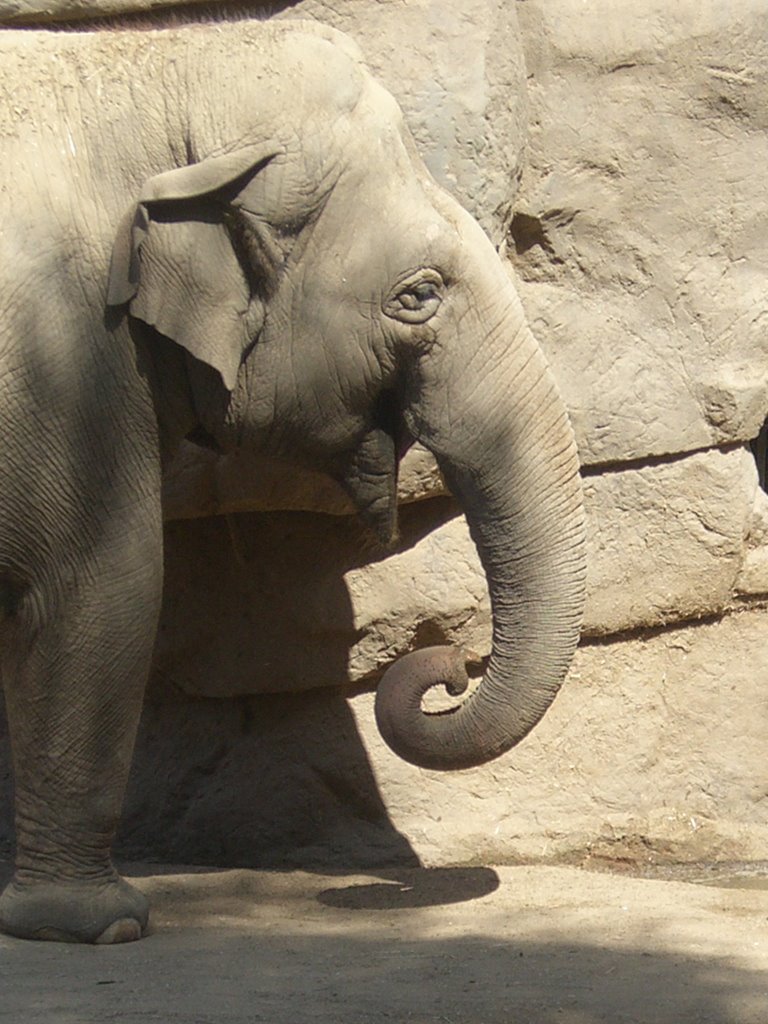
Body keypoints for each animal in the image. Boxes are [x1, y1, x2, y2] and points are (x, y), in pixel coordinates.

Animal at [0, 18, 589, 942]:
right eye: (418, 294)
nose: (449, 665)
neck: (142, 71)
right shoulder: (62, 349)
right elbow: (104, 580)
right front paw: (99, 924)